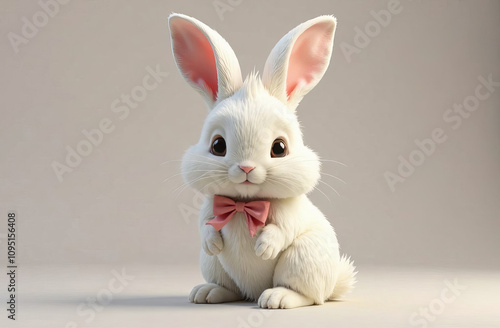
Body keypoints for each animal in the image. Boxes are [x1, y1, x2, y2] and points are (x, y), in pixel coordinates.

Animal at [168, 12, 356, 308]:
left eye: (279, 148)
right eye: (218, 145)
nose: (246, 167)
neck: (244, 204)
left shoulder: (291, 213)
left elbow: (284, 229)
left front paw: (263, 247)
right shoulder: (209, 208)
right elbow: (205, 227)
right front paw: (213, 242)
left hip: (302, 259)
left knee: (310, 296)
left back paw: (277, 297)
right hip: (213, 266)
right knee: (231, 289)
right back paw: (208, 292)